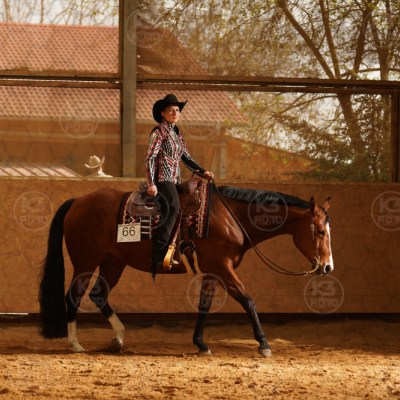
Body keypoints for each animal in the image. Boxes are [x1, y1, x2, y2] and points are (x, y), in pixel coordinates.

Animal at [39, 181, 333, 357]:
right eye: (320, 231)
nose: (328, 266)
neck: (228, 216)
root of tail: (78, 201)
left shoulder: (213, 271)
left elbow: (204, 305)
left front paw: (201, 344)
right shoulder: (223, 267)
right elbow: (247, 300)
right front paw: (264, 344)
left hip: (113, 261)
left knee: (99, 294)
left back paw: (119, 338)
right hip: (85, 262)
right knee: (74, 296)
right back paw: (75, 344)